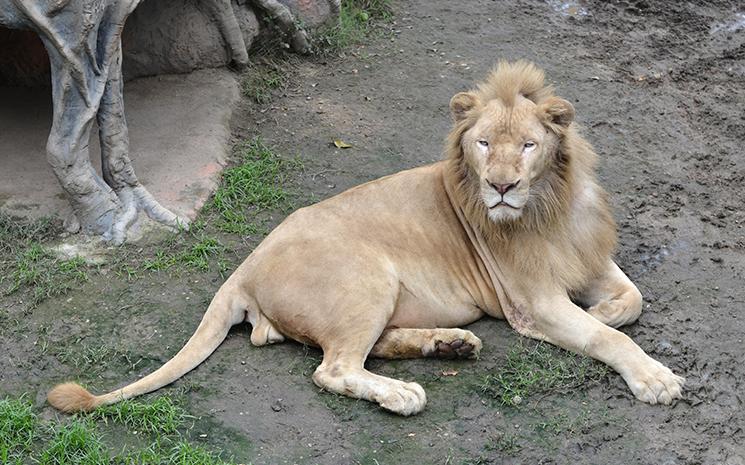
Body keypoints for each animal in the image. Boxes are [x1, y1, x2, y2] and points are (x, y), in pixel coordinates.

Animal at [47, 61, 684, 416]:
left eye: (528, 145)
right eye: (483, 144)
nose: (501, 186)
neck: (549, 205)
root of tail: (243, 268)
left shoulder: (589, 258)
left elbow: (631, 299)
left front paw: (603, 308)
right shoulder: (533, 302)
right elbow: (608, 337)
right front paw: (654, 377)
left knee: (362, 349)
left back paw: (449, 345)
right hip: (367, 276)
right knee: (333, 368)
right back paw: (403, 393)